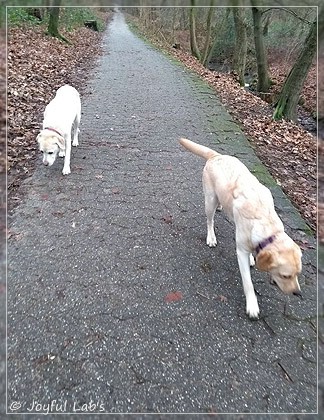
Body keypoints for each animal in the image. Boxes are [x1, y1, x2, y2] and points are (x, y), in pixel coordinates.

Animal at [178, 138, 302, 318]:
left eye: (298, 274)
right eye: (285, 276)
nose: (297, 293)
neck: (266, 224)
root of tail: (216, 156)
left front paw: (253, 258)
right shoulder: (241, 252)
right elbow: (248, 282)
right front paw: (252, 305)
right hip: (209, 200)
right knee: (210, 220)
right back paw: (211, 237)